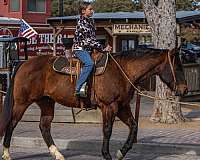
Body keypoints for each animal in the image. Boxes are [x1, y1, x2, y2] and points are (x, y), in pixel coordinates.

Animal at [0, 48, 188, 159]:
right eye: (178, 67)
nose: (184, 90)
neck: (122, 71)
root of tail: (24, 62)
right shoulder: (109, 106)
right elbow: (107, 130)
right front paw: (107, 155)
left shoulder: (122, 106)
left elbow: (134, 126)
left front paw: (121, 152)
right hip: (21, 103)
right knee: (11, 124)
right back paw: (7, 153)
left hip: (46, 102)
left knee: (44, 126)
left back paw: (57, 154)